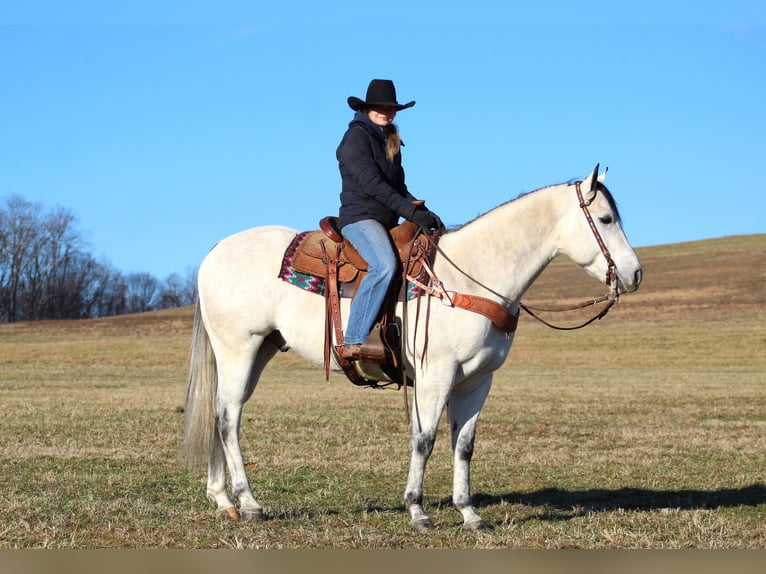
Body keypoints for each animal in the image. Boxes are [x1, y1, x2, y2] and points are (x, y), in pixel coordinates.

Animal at [183, 164, 644, 528]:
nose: (635, 273)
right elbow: (424, 438)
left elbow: (464, 445)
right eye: (605, 219)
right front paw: (418, 510)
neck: (472, 276)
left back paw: (223, 499)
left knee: (221, 414)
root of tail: (216, 251)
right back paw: (249, 502)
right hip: (239, 349)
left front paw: (468, 512)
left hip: (258, 350)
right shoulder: (434, 374)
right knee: (227, 419)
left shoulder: (476, 381)